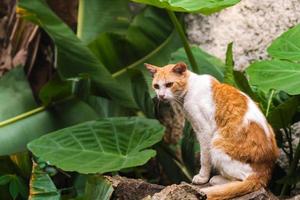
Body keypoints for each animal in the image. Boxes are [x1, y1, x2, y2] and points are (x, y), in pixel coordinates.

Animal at [145, 61, 278, 199]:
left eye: (169, 84)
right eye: (156, 86)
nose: (161, 95)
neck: (190, 88)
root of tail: (265, 172)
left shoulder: (204, 131)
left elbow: (204, 158)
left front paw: (202, 177)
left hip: (217, 144)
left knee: (242, 179)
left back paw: (216, 180)